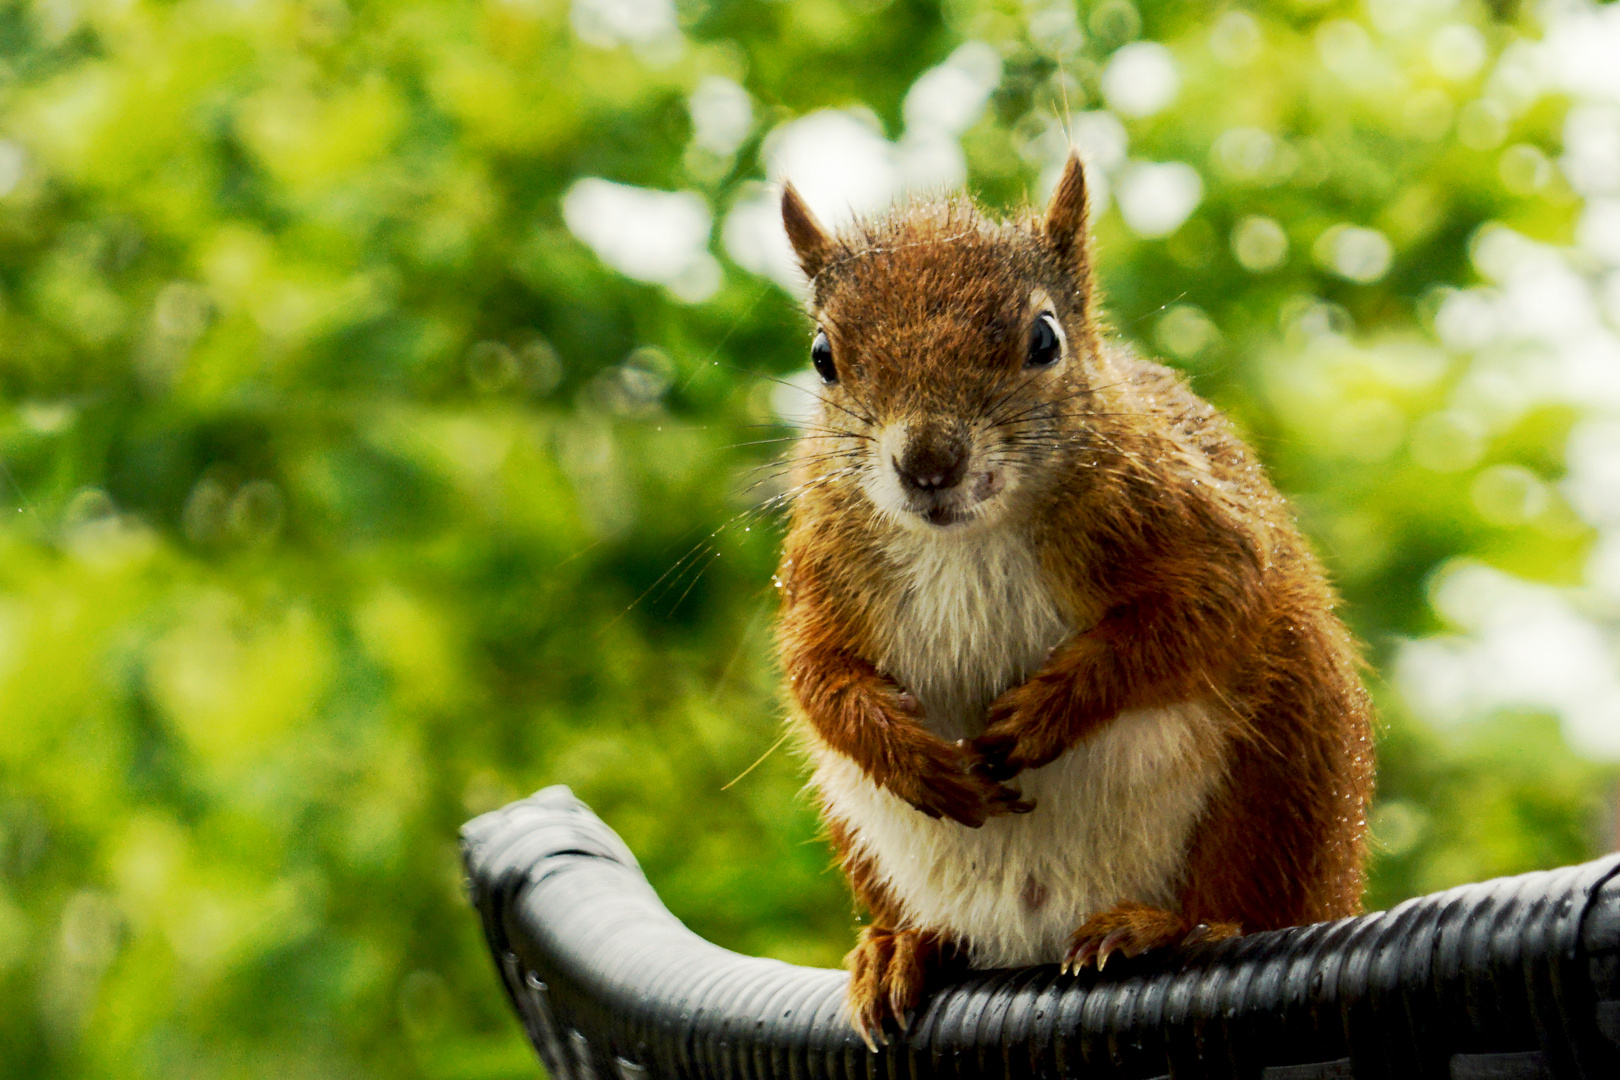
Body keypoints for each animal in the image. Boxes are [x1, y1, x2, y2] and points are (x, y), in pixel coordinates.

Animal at [767, 156, 1367, 1042]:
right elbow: (815, 675)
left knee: (1242, 902)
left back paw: (1164, 927)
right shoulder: (821, 577)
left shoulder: (1189, 525)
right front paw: (919, 762)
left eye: (1044, 339)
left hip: (1280, 770)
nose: (929, 464)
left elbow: (1201, 612)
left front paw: (1047, 712)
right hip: (861, 831)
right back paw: (905, 947)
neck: (967, 539)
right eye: (821, 356)